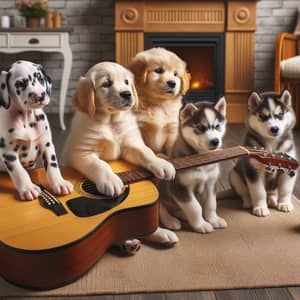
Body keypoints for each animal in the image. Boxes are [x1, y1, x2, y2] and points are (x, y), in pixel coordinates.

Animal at [0, 60, 72, 202]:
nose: (39, 95)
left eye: (40, 78)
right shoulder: (9, 153)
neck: (27, 120)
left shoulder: (47, 145)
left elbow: (53, 165)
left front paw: (59, 183)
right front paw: (28, 188)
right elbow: (19, 172)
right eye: (20, 83)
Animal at [129, 47, 190, 246]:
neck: (158, 104)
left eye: (176, 74)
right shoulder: (138, 130)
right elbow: (146, 151)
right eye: (158, 71)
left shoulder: (171, 131)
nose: (172, 82)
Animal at [159, 98, 227, 234]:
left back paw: (182, 215)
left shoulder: (211, 182)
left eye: (217, 126)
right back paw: (170, 221)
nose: (216, 141)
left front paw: (213, 219)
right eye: (200, 127)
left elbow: (211, 203)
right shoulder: (178, 187)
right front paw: (201, 225)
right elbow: (194, 207)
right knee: (161, 208)